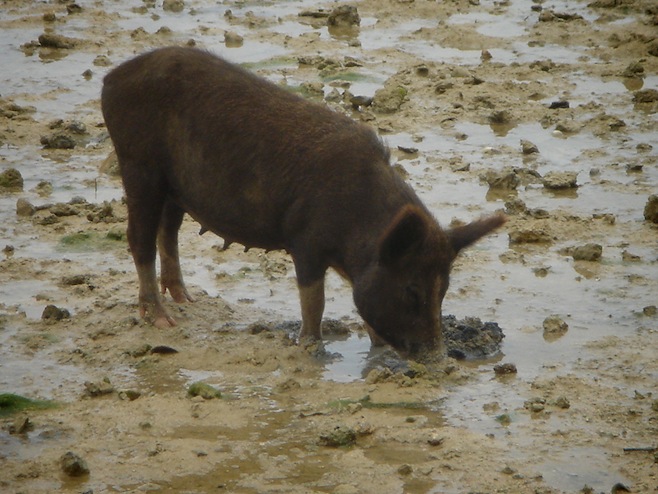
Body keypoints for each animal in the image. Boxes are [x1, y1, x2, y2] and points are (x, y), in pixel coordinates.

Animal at [101, 47, 505, 358]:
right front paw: (311, 347)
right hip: (139, 165)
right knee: (138, 238)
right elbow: (314, 299)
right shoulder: (306, 240)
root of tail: (112, 78)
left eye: (444, 290)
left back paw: (187, 300)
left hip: (173, 187)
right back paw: (162, 320)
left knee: (167, 232)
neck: (357, 225)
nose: (437, 357)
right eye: (412, 289)